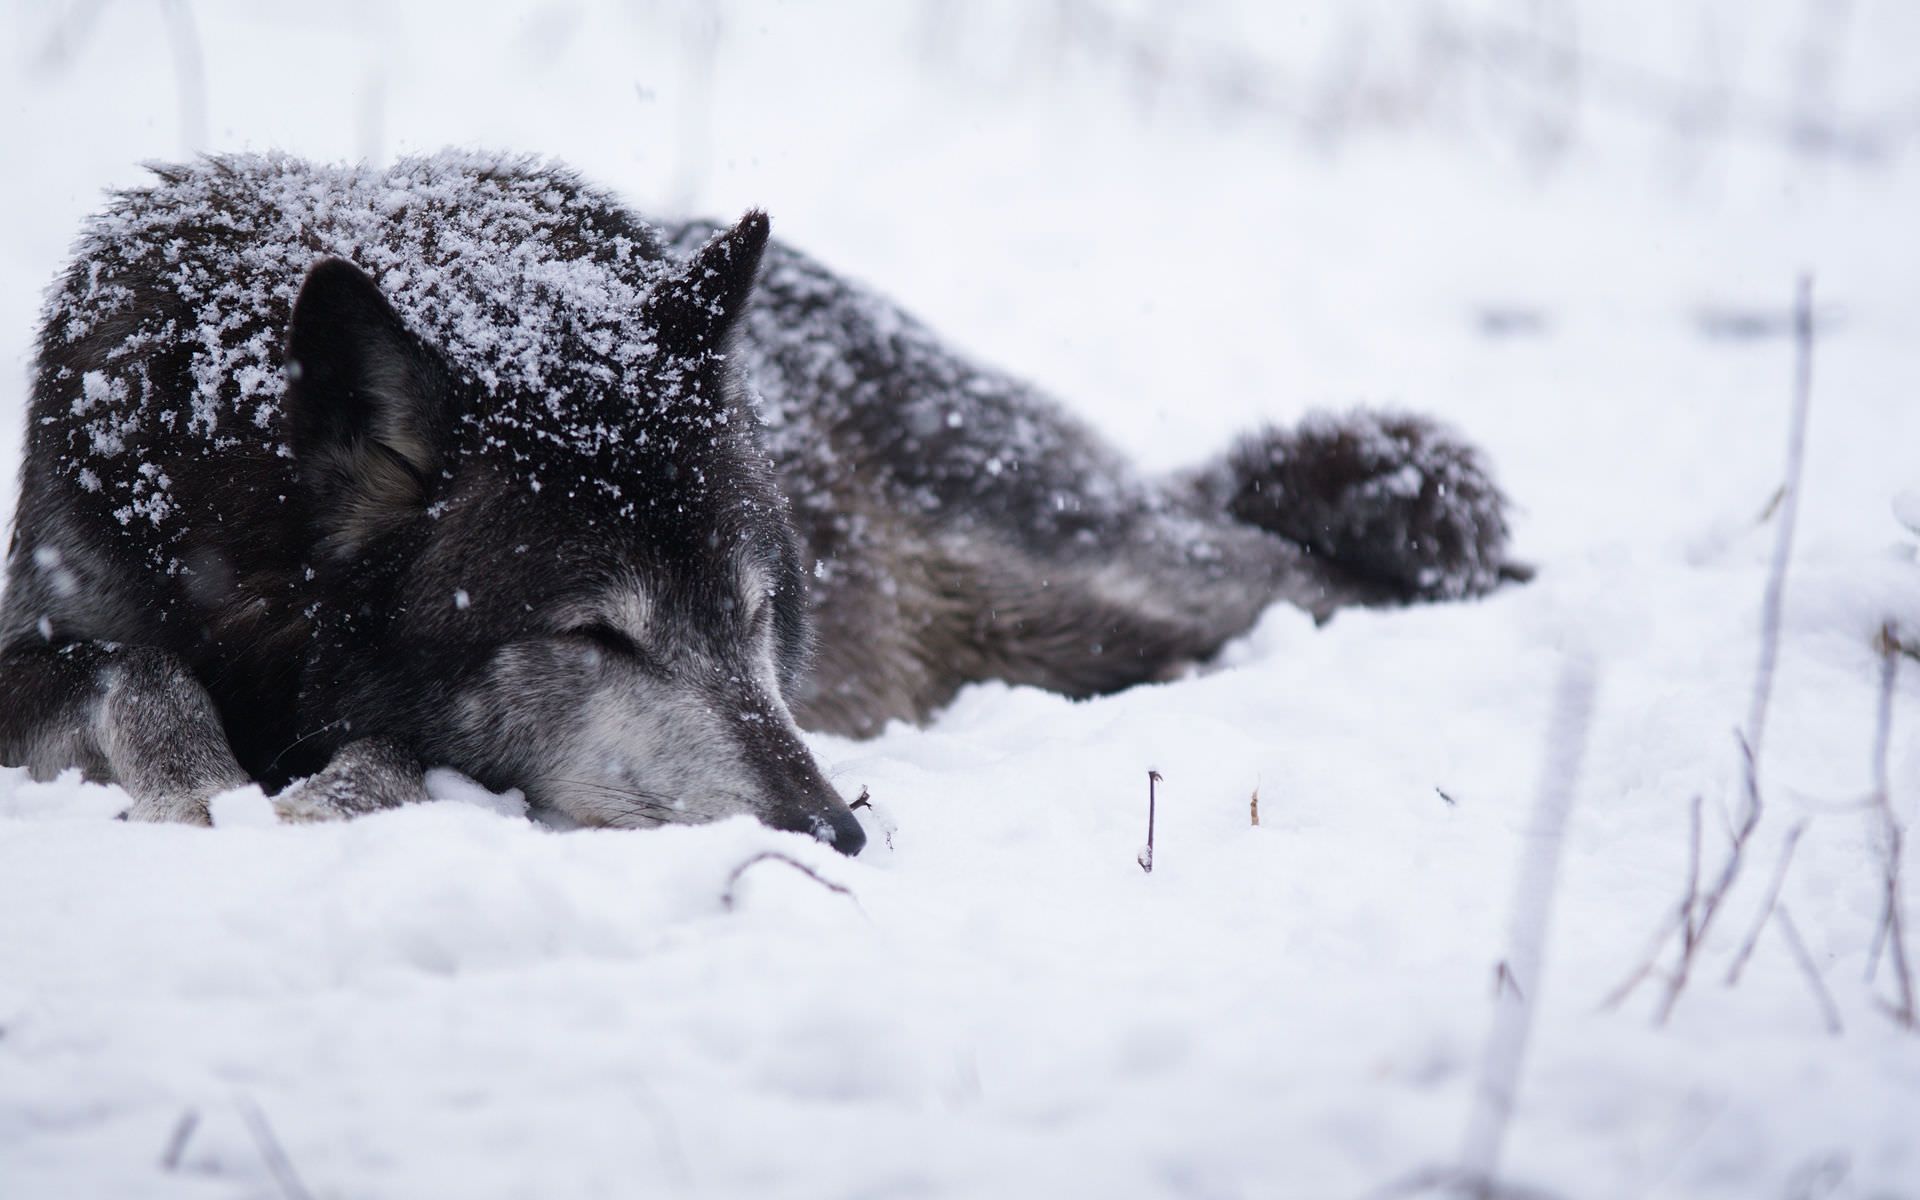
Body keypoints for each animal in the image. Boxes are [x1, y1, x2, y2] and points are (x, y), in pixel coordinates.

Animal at [0, 154, 1516, 853]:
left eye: (753, 614)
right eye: (597, 636)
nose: (837, 834)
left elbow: (379, 748)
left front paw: (314, 795)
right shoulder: (58, 615)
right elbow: (127, 663)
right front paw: (205, 782)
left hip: (1103, 584)